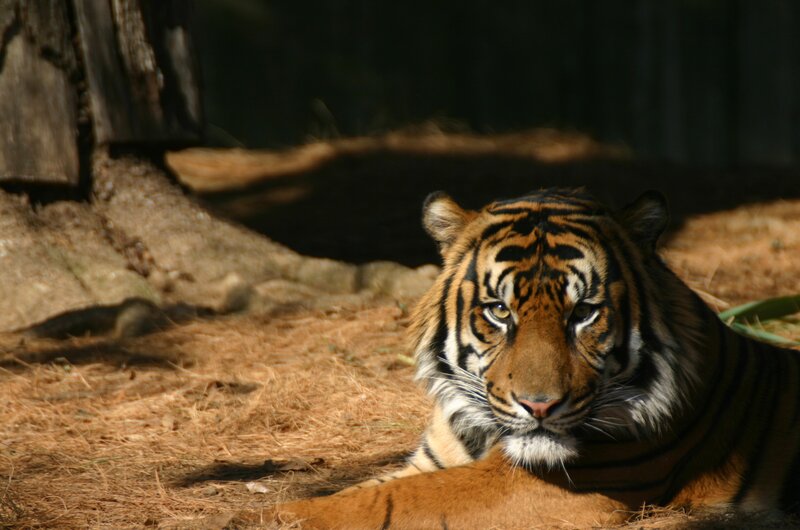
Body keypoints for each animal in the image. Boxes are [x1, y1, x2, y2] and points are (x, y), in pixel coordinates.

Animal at [276, 188, 800, 529]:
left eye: (584, 312)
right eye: (499, 310)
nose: (540, 406)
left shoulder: (548, 485)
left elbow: (380, 504)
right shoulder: (431, 462)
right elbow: (360, 491)